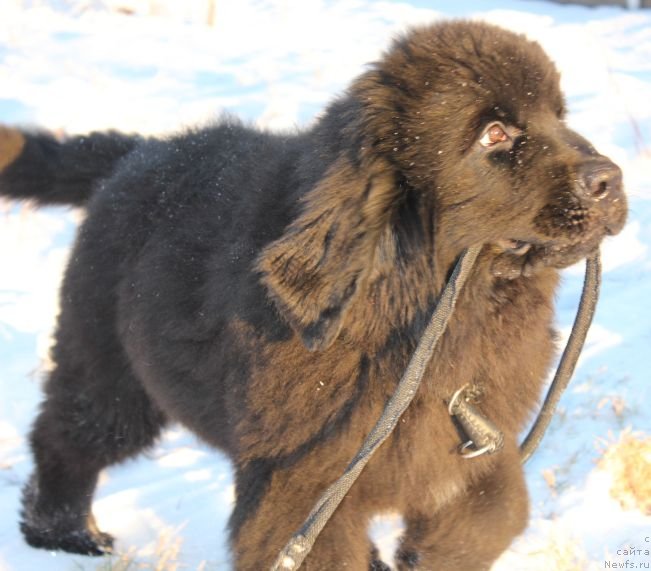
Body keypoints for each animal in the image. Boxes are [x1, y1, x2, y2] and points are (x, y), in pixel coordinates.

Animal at [1, 20, 632, 568]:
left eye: (559, 115)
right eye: (494, 134)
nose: (611, 179)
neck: (425, 313)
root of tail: (134, 153)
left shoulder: (475, 438)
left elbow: (496, 511)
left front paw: (425, 554)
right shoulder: (297, 482)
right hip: (113, 371)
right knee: (66, 436)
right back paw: (64, 534)